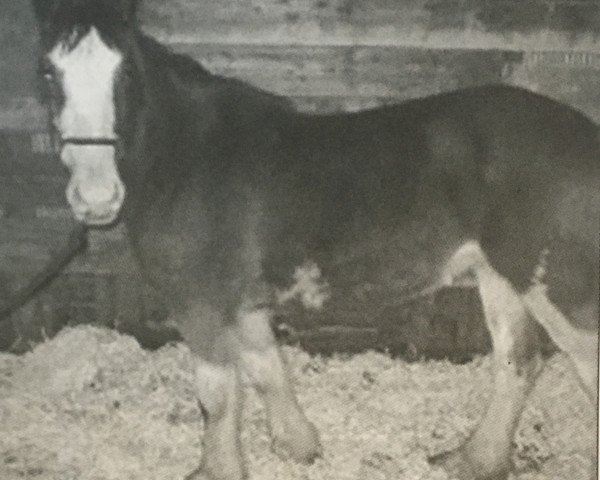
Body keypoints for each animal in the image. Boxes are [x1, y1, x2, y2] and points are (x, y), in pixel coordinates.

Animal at [30, 0, 596, 480]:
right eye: (49, 73)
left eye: (126, 73)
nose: (96, 197)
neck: (186, 159)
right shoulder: (242, 302)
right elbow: (266, 368)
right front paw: (299, 446)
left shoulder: (200, 304)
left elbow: (217, 396)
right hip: (499, 273)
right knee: (517, 360)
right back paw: (475, 460)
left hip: (556, 288)